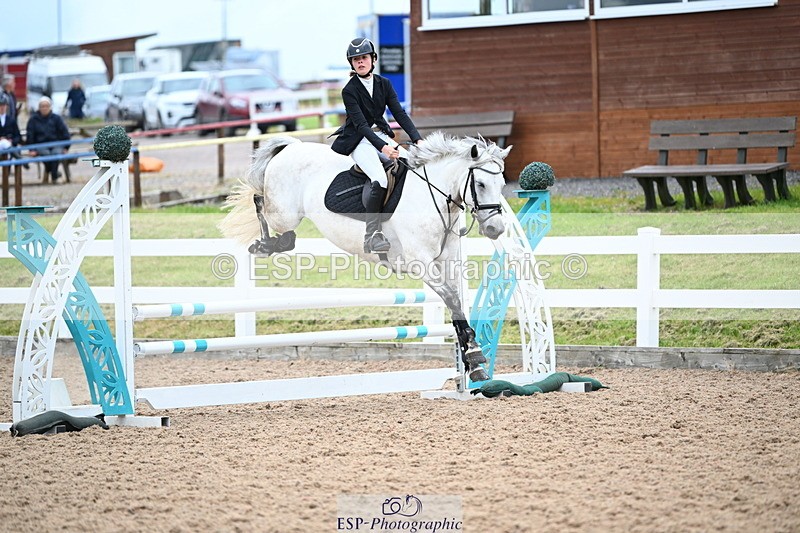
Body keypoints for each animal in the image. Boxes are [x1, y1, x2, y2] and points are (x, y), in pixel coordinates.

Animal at [219, 131, 511, 382]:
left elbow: (456, 302)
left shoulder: (447, 261)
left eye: (501, 184)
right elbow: (451, 298)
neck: (432, 198)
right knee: (260, 202)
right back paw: (264, 245)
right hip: (284, 213)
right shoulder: (421, 263)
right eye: (480, 184)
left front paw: (472, 362)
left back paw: (273, 243)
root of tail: (292, 146)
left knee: (279, 225)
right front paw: (474, 355)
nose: (495, 229)